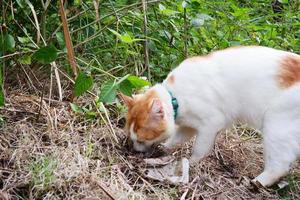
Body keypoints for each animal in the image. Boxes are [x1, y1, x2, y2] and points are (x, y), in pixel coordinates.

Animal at [120, 46, 300, 187]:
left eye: (141, 140)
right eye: (132, 138)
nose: (135, 151)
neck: (175, 97)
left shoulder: (210, 125)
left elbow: (198, 150)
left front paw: (191, 163)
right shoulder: (188, 126)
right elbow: (175, 139)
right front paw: (165, 148)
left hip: (276, 128)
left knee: (279, 165)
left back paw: (257, 183)